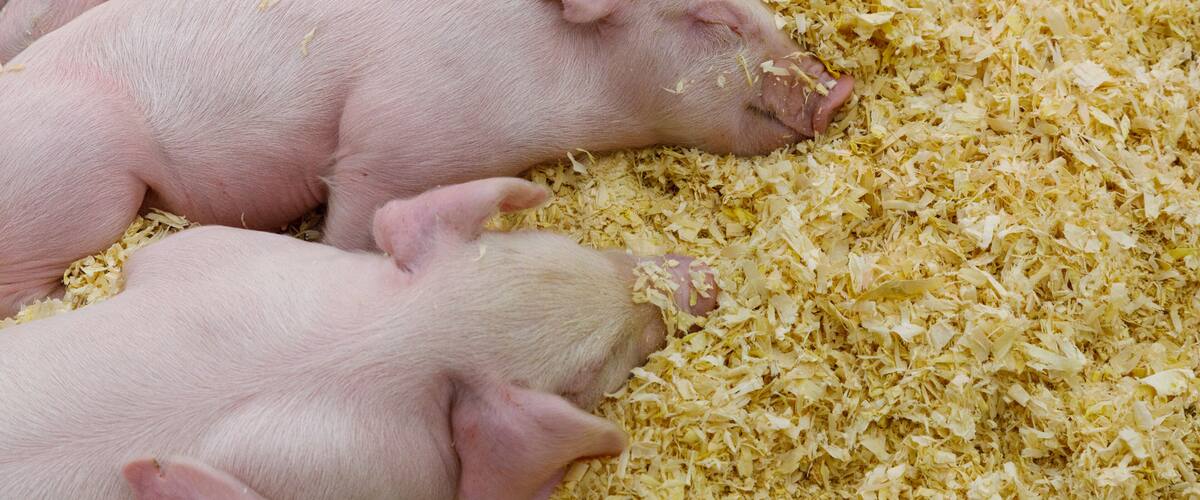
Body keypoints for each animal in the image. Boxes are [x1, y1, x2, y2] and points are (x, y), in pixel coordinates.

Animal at [0, 178, 719, 500]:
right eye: (591, 371)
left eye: (569, 246)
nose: (709, 278)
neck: (395, 336)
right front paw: (153, 472)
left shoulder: (197, 255)